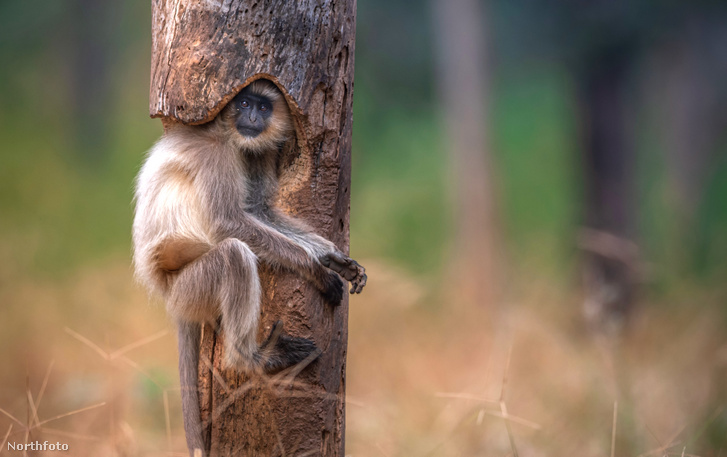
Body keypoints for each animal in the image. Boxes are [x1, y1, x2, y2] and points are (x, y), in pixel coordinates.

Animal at [132, 79, 366, 457]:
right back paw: (252, 359)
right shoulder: (215, 153)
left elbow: (259, 210)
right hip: (191, 284)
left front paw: (333, 258)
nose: (253, 117)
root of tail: (167, 292)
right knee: (234, 254)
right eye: (243, 103)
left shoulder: (254, 152)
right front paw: (316, 269)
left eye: (263, 106)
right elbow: (229, 223)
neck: (223, 130)